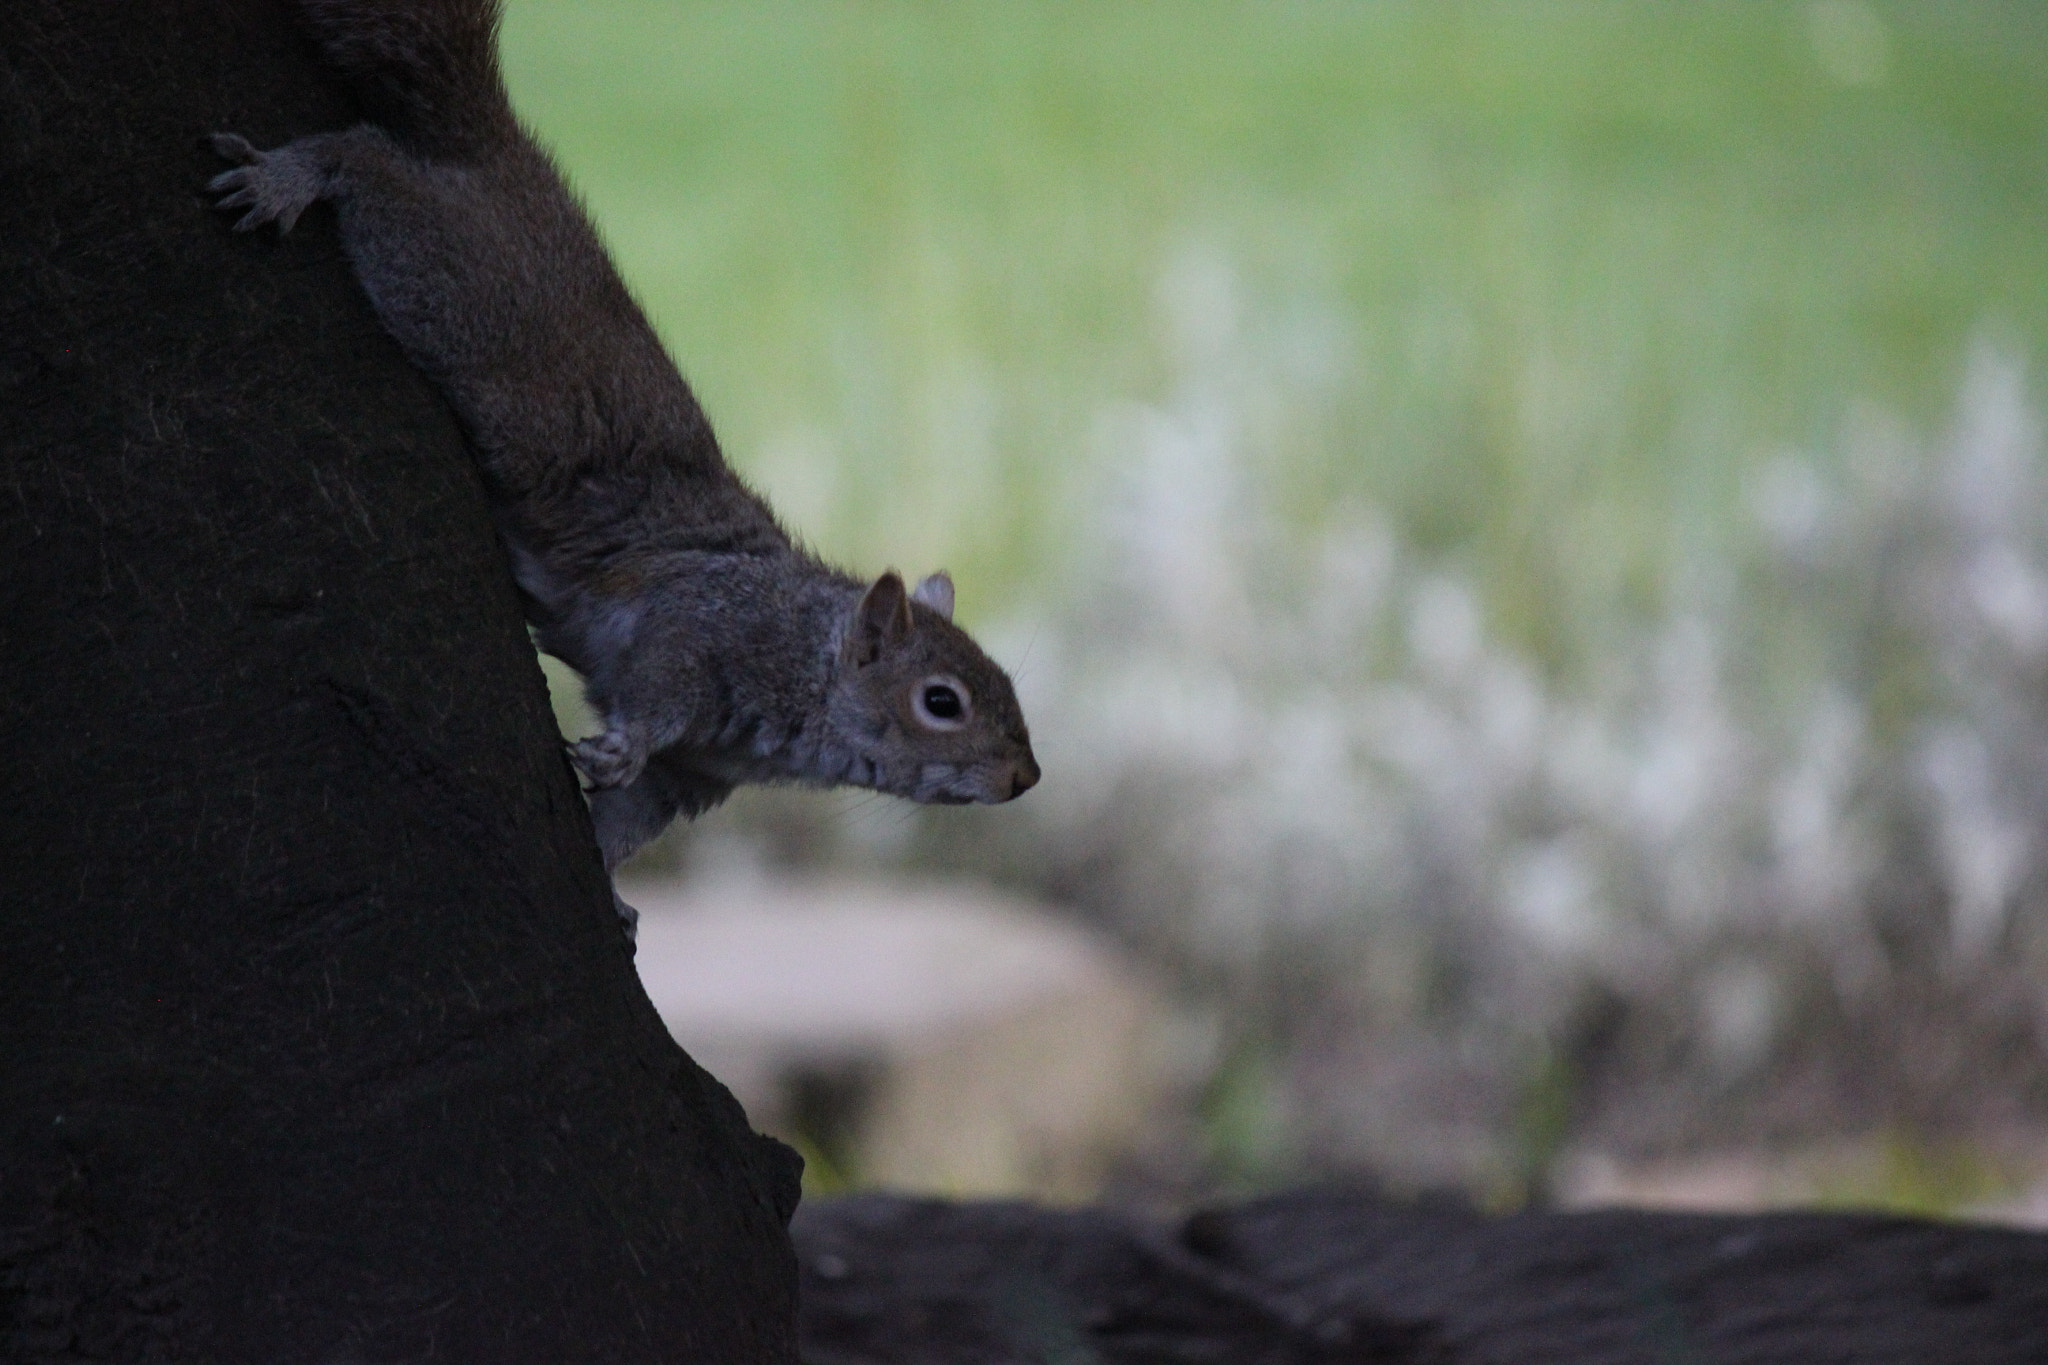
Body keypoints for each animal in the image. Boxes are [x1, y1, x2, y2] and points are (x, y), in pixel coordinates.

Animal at [208, 0, 1039, 931]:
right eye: (943, 701)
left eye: (1007, 683)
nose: (1025, 776)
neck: (804, 659)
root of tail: (497, 151)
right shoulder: (704, 625)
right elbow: (655, 691)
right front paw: (618, 750)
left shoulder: (697, 772)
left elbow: (633, 815)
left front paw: (611, 887)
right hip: (444, 279)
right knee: (367, 159)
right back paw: (290, 176)